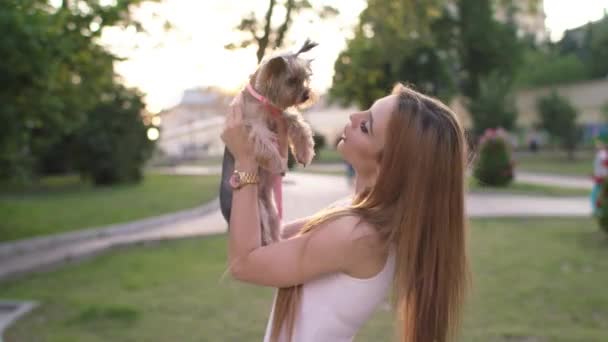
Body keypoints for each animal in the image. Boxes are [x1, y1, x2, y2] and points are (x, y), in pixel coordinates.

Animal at [220, 38, 318, 244]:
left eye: (306, 78)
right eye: (291, 81)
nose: (306, 94)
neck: (264, 101)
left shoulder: (282, 115)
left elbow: (299, 125)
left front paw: (304, 152)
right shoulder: (256, 129)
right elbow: (267, 147)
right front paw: (278, 164)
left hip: (271, 213)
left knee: (273, 233)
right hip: (260, 216)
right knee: (264, 237)